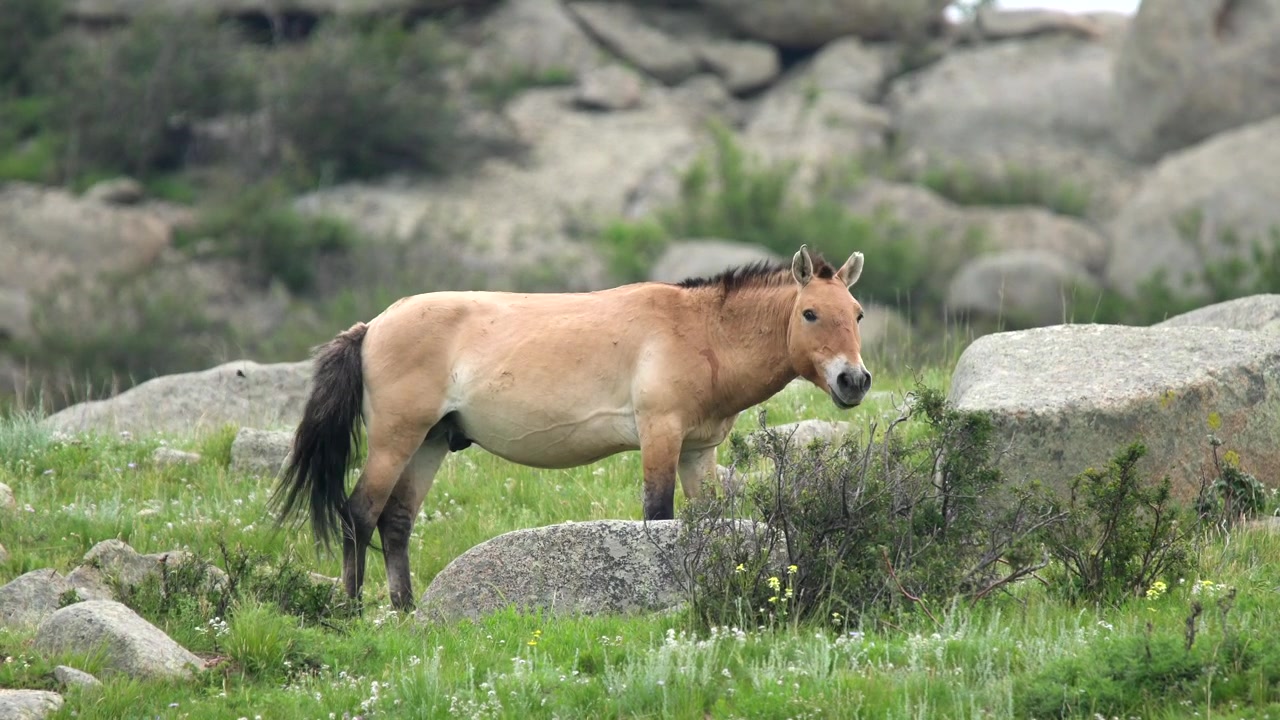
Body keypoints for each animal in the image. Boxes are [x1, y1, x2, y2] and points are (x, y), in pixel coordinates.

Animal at [270, 244, 873, 611]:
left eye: (857, 313)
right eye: (810, 314)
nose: (854, 381)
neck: (702, 331)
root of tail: (371, 326)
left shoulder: (697, 451)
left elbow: (705, 522)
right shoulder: (660, 436)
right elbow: (659, 516)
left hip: (430, 443)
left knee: (396, 522)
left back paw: (407, 609)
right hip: (397, 439)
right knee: (359, 513)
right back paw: (352, 606)